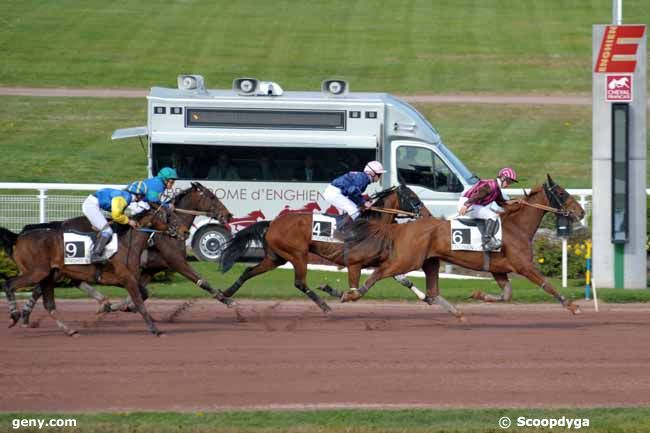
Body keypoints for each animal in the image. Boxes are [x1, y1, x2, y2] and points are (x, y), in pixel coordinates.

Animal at [1, 206, 184, 334]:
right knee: (8, 284)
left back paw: (68, 330)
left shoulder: (125, 279)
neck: (127, 244)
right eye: (168, 215)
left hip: (48, 275)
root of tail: (18, 237)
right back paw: (14, 316)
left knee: (48, 304)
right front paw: (155, 330)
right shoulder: (126, 278)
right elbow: (140, 302)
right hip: (36, 272)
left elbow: (144, 293)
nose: (182, 231)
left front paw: (115, 307)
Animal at [17, 181, 234, 322]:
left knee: (57, 284)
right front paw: (228, 301)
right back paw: (26, 314)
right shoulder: (176, 262)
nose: (228, 214)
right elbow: (201, 281)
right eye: (212, 196)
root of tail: (60, 224)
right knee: (43, 285)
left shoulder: (149, 269)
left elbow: (141, 291)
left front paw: (124, 306)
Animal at [220, 184, 428, 312]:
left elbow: (404, 280)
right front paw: (334, 292)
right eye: (413, 196)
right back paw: (323, 305)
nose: (426, 214)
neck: (374, 224)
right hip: (298, 254)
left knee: (248, 271)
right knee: (300, 283)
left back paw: (225, 296)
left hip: (275, 258)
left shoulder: (380, 262)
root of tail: (272, 223)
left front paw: (427, 298)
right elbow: (355, 291)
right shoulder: (354, 264)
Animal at [340, 175, 584, 314]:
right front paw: (571, 306)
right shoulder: (524, 266)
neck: (517, 227)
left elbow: (506, 295)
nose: (581, 212)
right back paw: (351, 294)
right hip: (407, 260)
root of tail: (403, 226)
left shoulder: (499, 270)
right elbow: (547, 285)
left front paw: (478, 294)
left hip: (429, 262)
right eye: (562, 192)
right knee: (380, 272)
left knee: (429, 290)